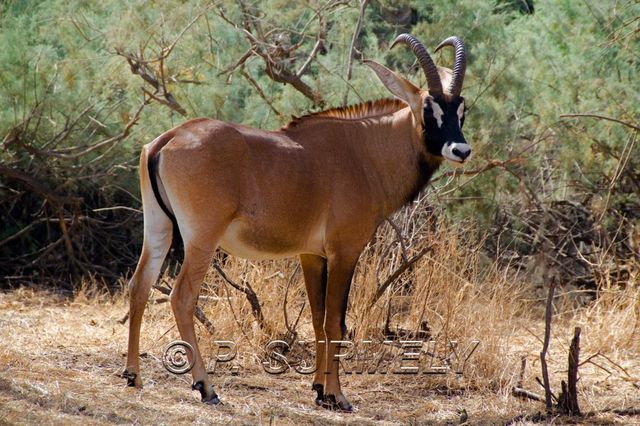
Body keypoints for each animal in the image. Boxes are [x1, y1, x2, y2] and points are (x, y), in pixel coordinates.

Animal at [124, 34, 470, 412]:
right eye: (428, 108)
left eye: (461, 109)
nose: (461, 150)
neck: (365, 151)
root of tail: (168, 139)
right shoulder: (344, 251)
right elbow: (335, 322)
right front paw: (338, 395)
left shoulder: (312, 255)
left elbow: (317, 320)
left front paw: (319, 390)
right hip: (202, 237)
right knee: (182, 297)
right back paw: (206, 387)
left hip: (158, 228)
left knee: (140, 285)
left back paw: (133, 375)